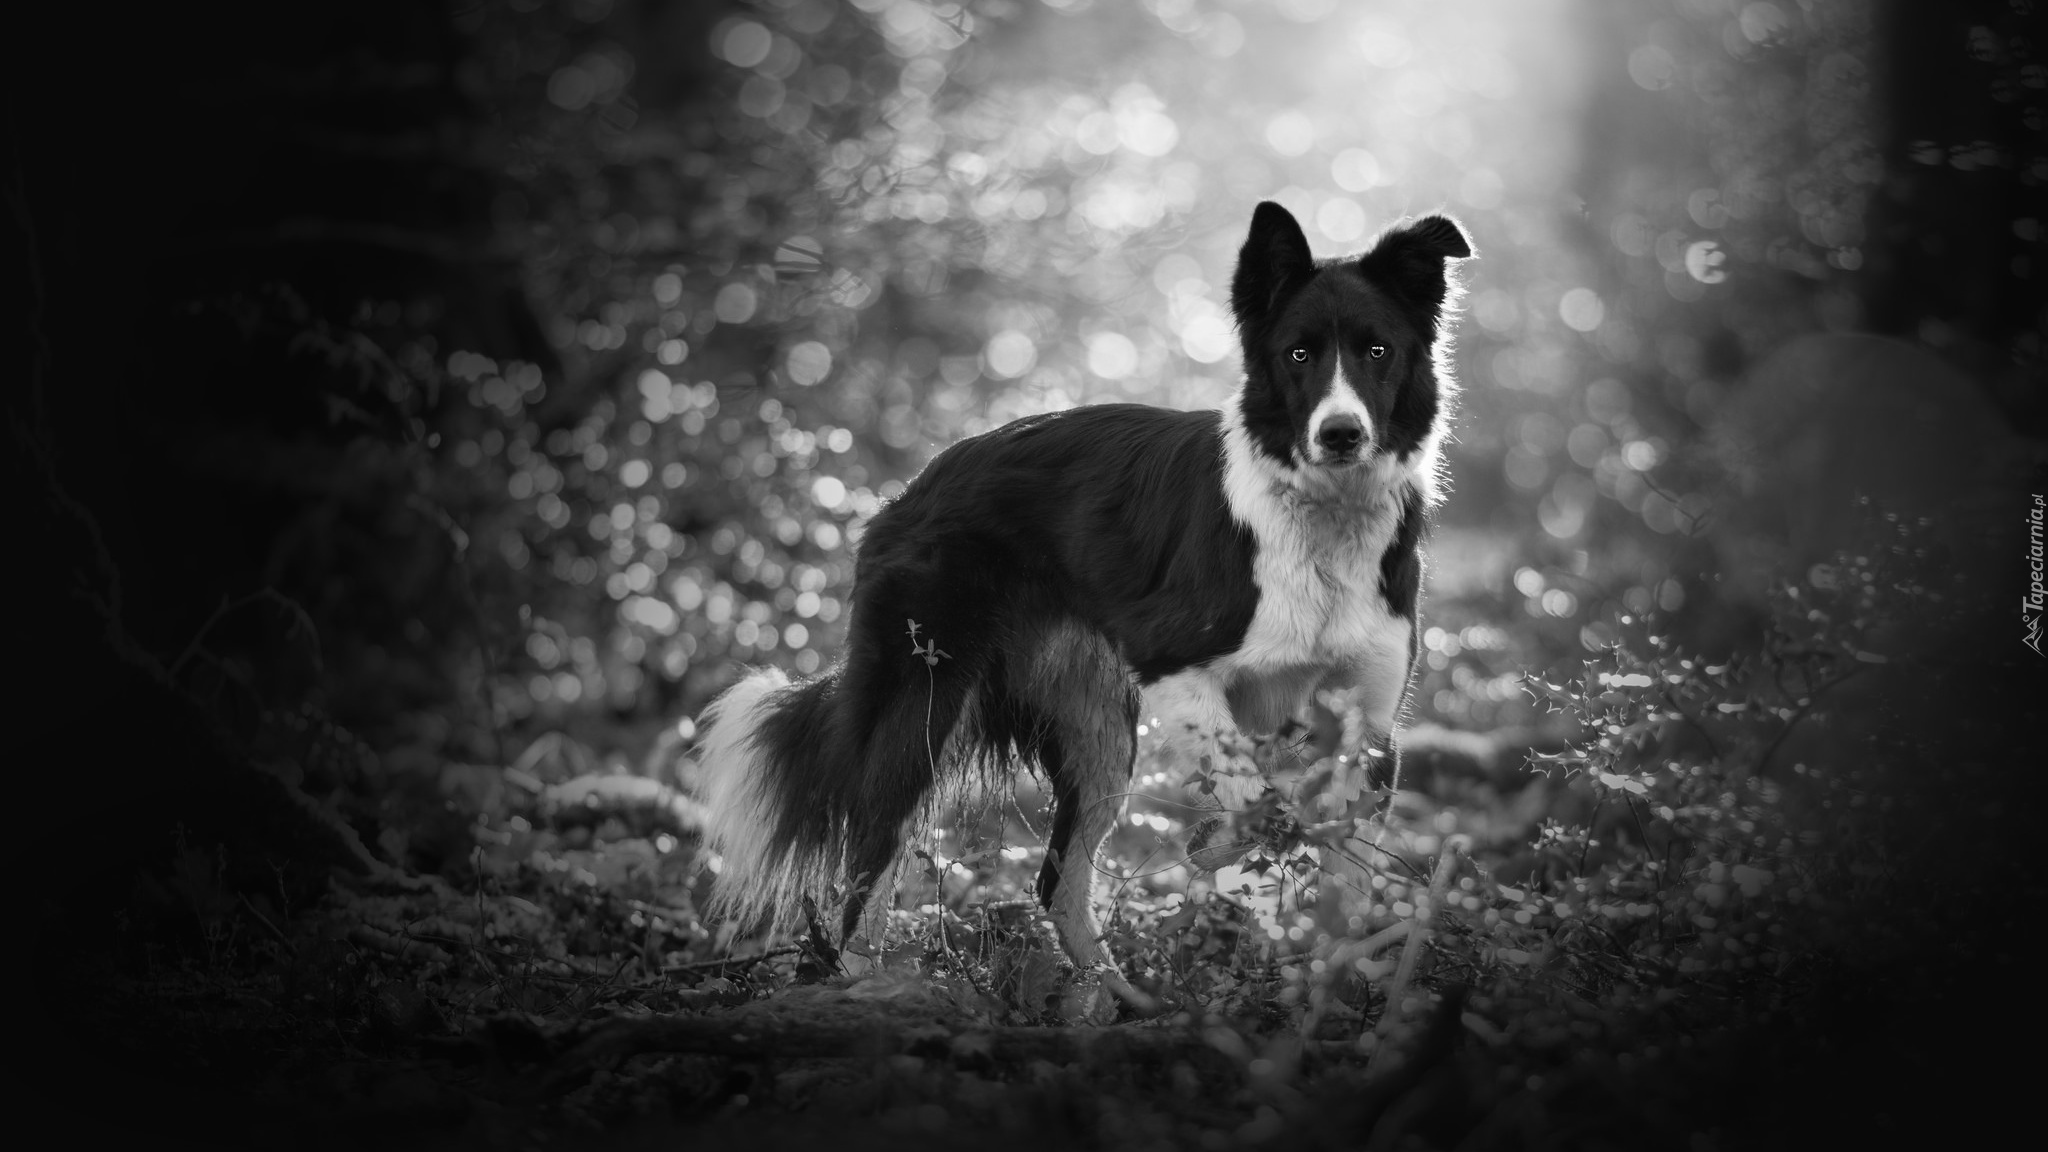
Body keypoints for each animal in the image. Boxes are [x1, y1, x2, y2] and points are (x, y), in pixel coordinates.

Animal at [696, 199, 1466, 967]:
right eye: (1299, 354)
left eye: (1377, 351)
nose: (1341, 434)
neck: (1322, 518)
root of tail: (910, 488)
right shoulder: (1176, 661)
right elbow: (1256, 804)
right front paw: (1213, 847)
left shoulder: (1371, 724)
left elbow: (1342, 880)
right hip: (924, 700)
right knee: (869, 864)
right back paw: (866, 980)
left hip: (1095, 730)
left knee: (1057, 883)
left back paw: (1110, 991)